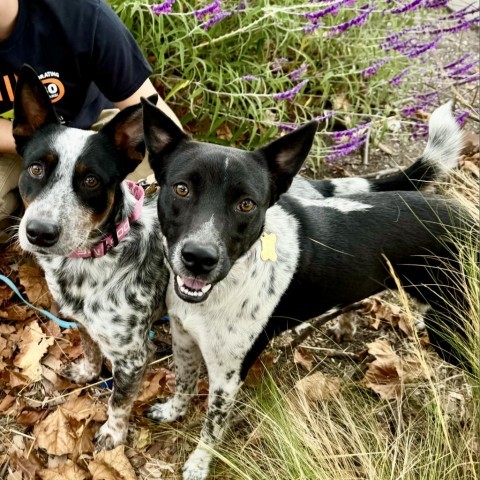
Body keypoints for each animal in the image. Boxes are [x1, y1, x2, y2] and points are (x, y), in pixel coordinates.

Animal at [141, 97, 466, 480]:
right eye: (182, 188)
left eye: (247, 203)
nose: (199, 258)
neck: (224, 286)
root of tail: (464, 216)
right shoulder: (184, 339)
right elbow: (184, 382)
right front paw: (172, 412)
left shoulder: (227, 376)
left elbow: (212, 427)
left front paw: (198, 464)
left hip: (450, 332)